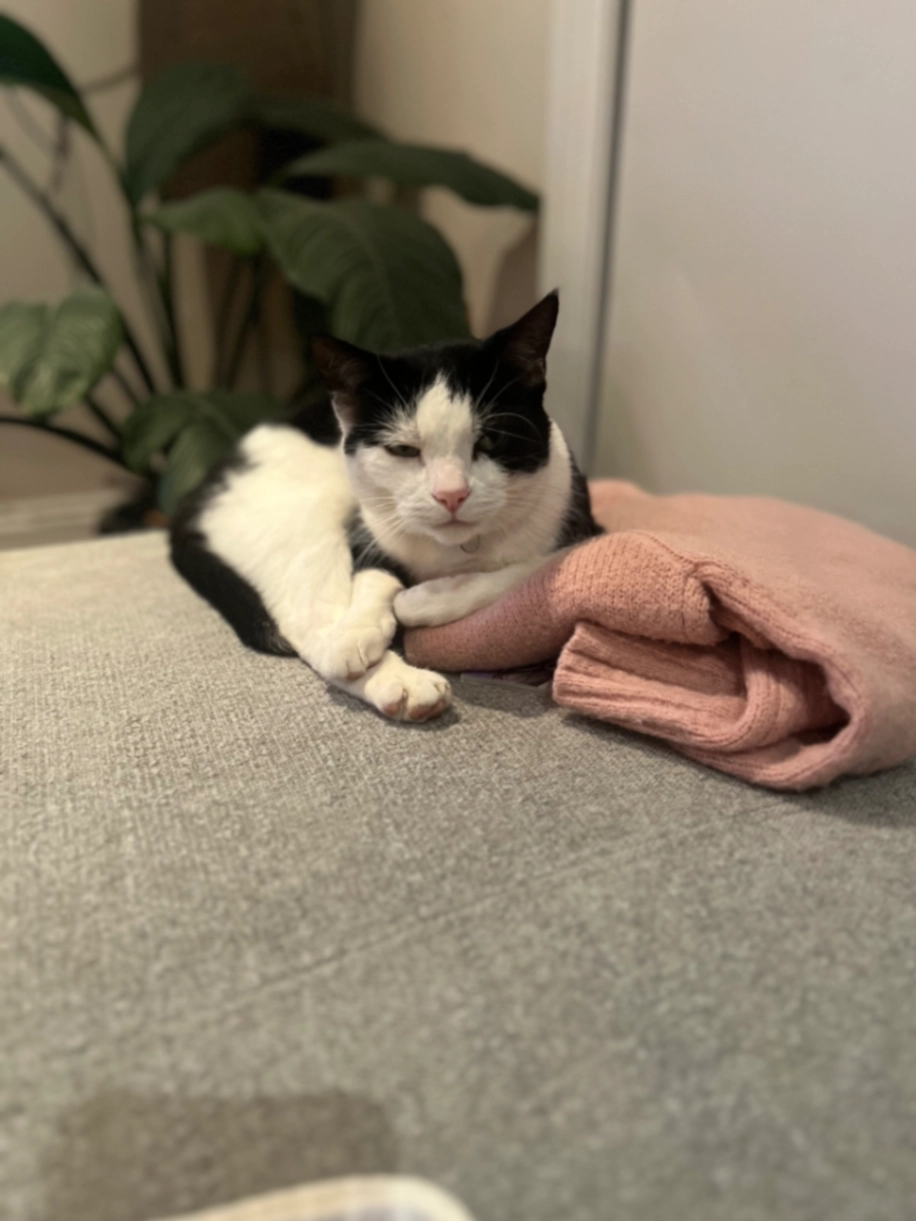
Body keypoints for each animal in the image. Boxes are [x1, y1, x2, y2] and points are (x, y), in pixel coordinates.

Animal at [170, 291, 601, 722]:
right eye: (404, 450)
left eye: (491, 440)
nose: (451, 494)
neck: (450, 552)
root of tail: (193, 494)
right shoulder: (367, 531)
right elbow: (373, 575)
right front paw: (357, 633)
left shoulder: (585, 529)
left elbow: (521, 570)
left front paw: (422, 600)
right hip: (307, 520)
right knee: (311, 624)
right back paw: (402, 682)